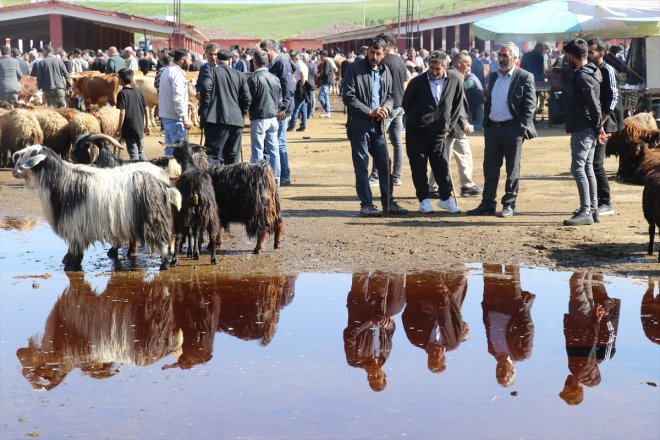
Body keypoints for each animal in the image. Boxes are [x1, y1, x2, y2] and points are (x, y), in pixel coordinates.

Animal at [12, 146, 182, 270]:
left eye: (30, 154)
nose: (14, 170)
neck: (62, 181)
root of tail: (164, 186)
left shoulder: (75, 226)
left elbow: (75, 249)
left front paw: (71, 265)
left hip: (154, 219)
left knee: (165, 239)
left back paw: (164, 264)